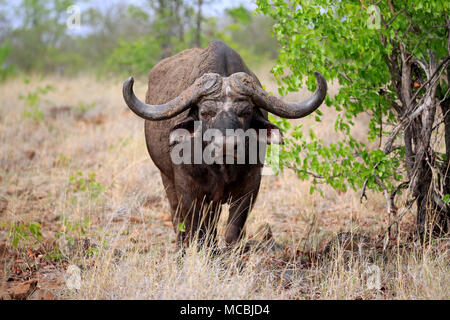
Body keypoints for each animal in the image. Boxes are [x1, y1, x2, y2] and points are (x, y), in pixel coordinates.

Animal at [123, 40, 326, 249]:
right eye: (205, 112)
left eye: (245, 112)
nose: (227, 145)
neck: (221, 167)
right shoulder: (187, 190)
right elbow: (196, 229)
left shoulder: (250, 188)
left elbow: (233, 230)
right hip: (167, 179)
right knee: (178, 218)